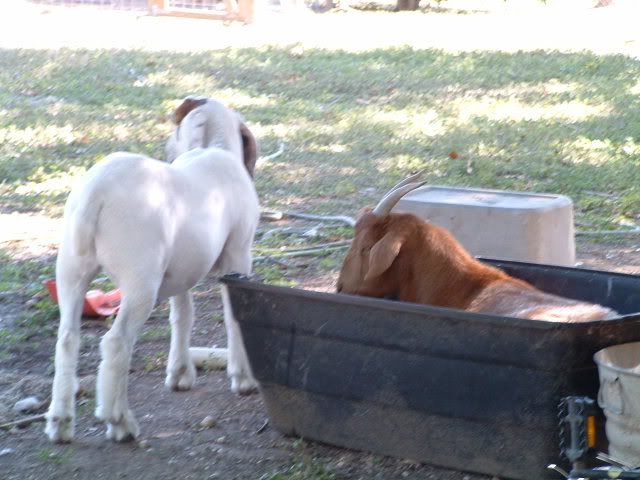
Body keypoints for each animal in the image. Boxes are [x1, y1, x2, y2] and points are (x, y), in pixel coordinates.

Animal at [45, 97, 260, 443]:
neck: (211, 147)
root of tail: (96, 193)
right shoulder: (238, 257)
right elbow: (233, 318)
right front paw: (243, 379)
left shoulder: (181, 271)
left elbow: (183, 315)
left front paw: (180, 373)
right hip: (140, 283)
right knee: (116, 342)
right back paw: (119, 421)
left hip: (71, 271)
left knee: (67, 339)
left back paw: (60, 422)